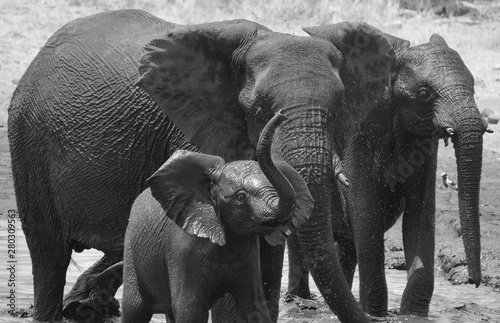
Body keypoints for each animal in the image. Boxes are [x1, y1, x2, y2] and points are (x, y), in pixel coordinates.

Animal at [121, 112, 312, 322]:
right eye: (241, 197)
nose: (280, 115)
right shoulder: (183, 252)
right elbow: (191, 311)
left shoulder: (249, 257)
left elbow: (254, 307)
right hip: (131, 254)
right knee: (134, 309)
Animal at [286, 24, 488, 318]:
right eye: (424, 94)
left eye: (473, 87)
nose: (474, 282)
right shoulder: (355, 133)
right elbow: (367, 212)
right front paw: (375, 314)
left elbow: (420, 215)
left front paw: (413, 315)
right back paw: (298, 301)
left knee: (347, 243)